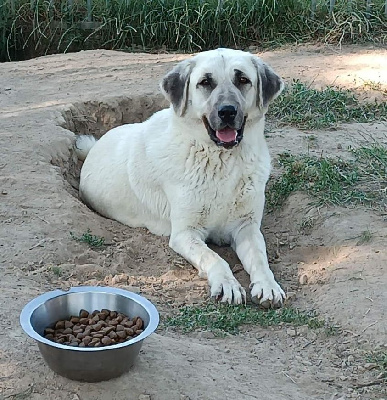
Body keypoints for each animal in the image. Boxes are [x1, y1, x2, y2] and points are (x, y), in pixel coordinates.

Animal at [76, 49, 288, 306]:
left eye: (242, 79)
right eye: (205, 82)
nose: (227, 111)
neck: (222, 162)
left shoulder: (246, 227)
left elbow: (259, 258)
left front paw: (268, 285)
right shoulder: (185, 233)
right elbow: (213, 257)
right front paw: (227, 284)